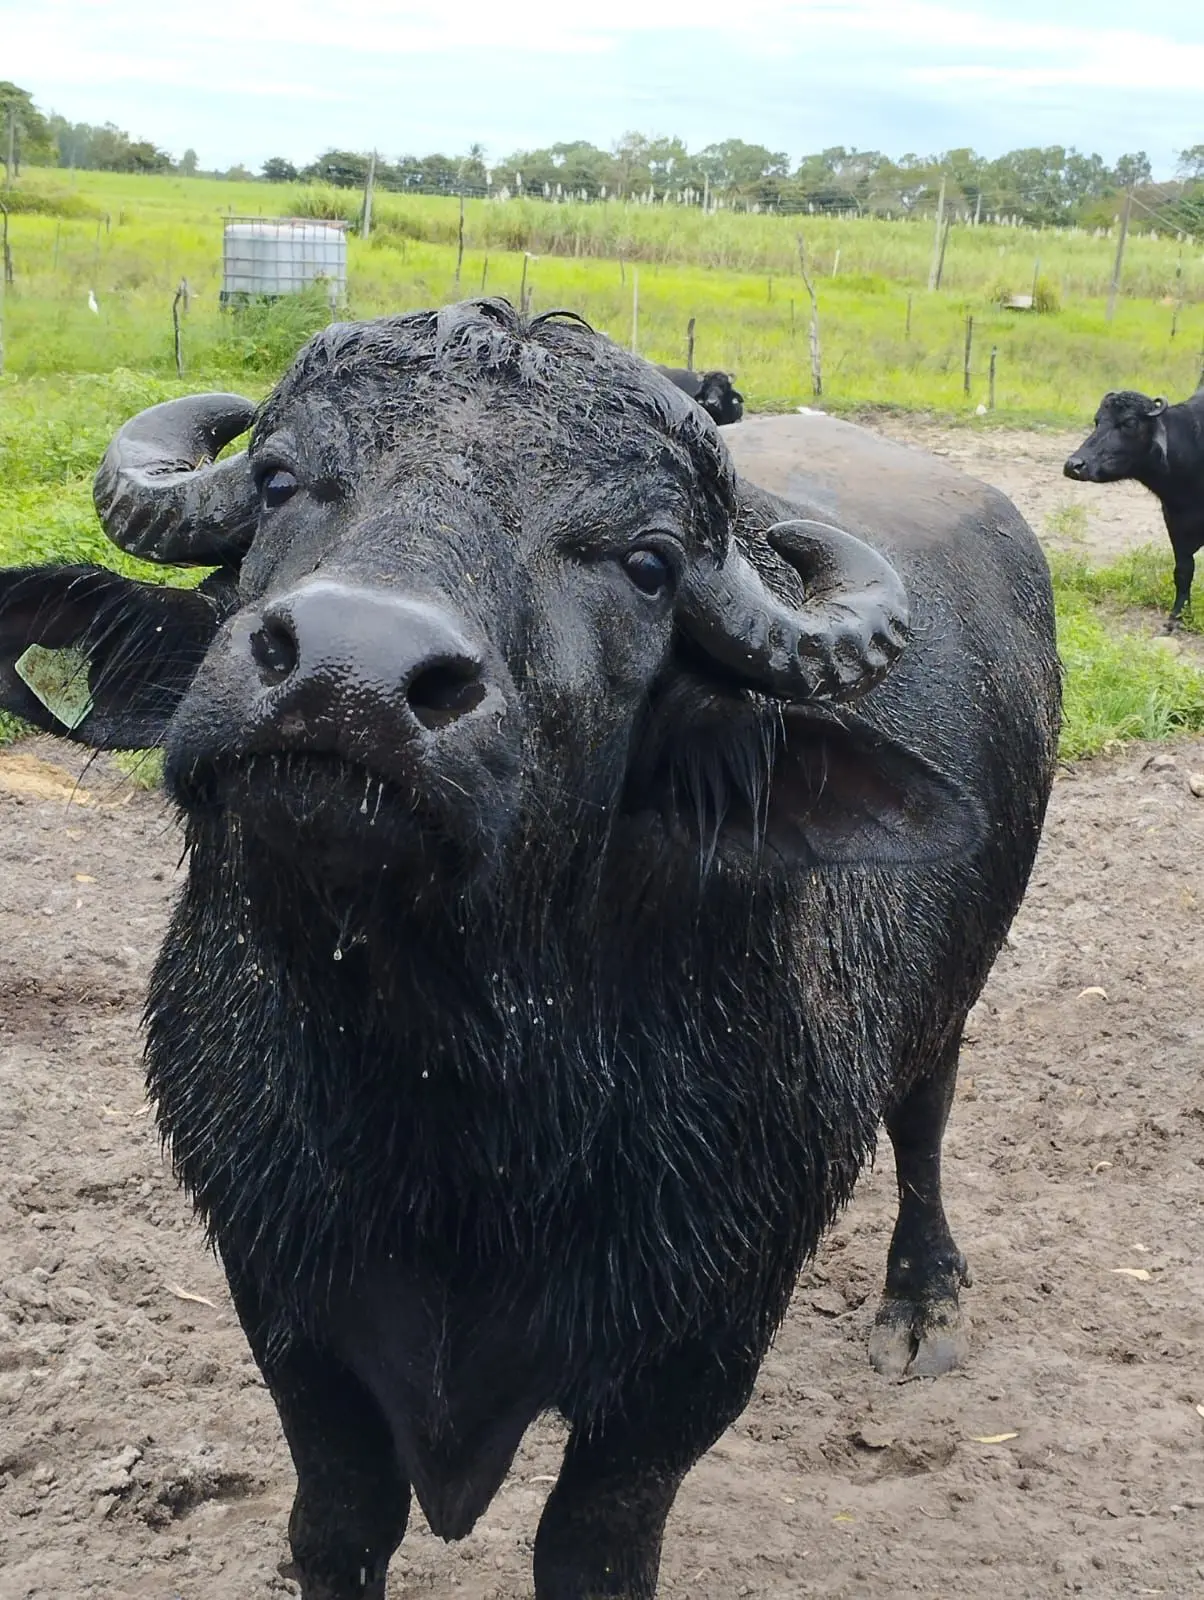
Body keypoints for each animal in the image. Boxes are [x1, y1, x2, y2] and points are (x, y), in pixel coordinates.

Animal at [0, 301, 1059, 1600]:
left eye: (646, 563)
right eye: (282, 476)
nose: (352, 673)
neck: (447, 1097)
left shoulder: (697, 1348)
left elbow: (593, 1545)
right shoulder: (283, 1295)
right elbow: (337, 1520)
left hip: (957, 991)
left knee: (925, 1116)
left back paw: (921, 1300)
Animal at [1064, 387, 1204, 629]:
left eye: (1129, 422)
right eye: (1097, 420)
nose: (1074, 465)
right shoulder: (1174, 522)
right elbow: (1184, 571)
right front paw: (1177, 617)